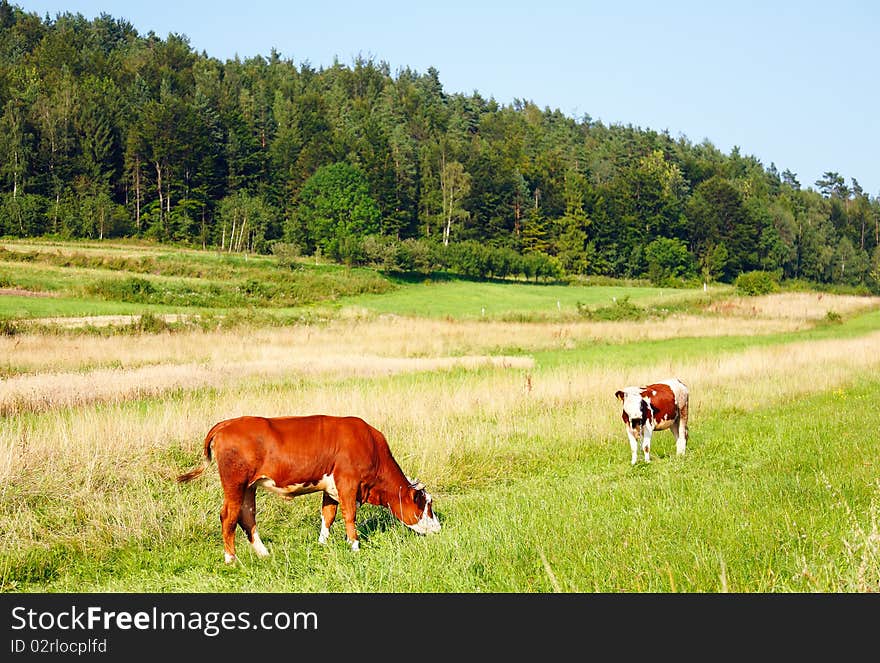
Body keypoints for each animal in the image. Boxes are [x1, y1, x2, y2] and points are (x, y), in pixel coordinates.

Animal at [177, 416, 440, 560]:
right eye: (426, 506)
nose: (438, 529)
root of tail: (228, 423)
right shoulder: (348, 483)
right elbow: (350, 515)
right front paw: (355, 546)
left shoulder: (331, 489)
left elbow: (328, 515)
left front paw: (323, 543)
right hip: (235, 483)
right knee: (228, 517)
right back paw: (231, 558)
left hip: (248, 487)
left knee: (247, 517)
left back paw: (263, 553)